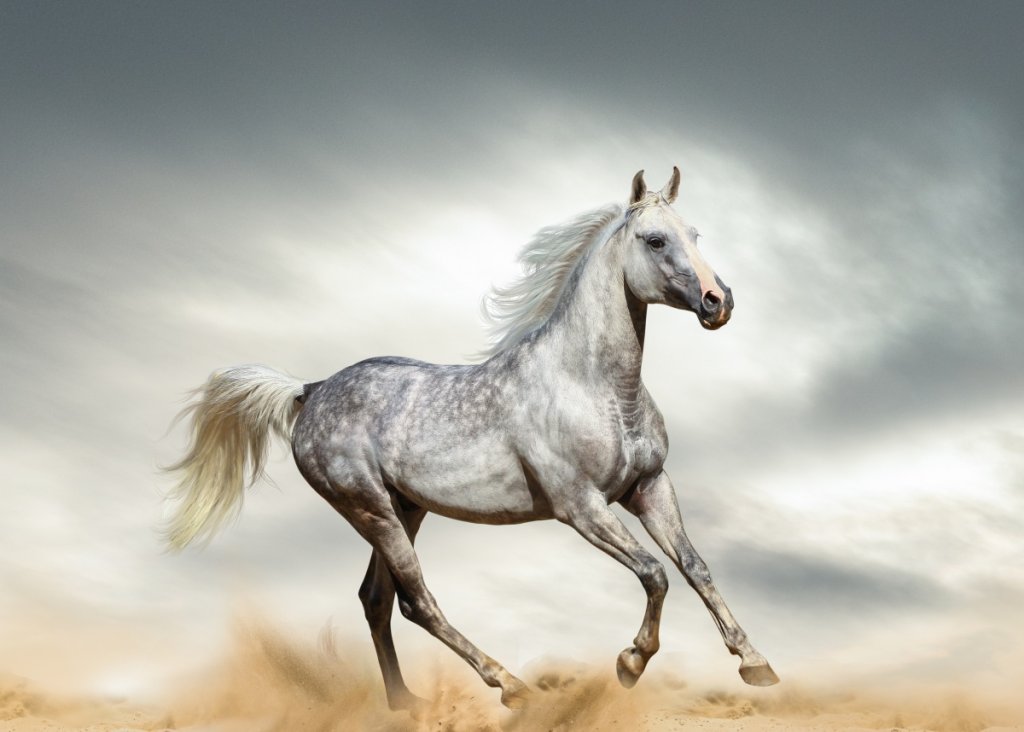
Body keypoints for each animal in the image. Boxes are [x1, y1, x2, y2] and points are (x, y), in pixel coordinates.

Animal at [165, 167, 779, 711]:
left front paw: (756, 664)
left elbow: (694, 567)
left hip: (404, 508)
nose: (718, 302)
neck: (595, 386)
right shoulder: (580, 506)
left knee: (375, 600)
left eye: (695, 234)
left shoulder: (649, 486)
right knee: (416, 602)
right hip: (370, 510)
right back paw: (512, 687)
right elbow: (655, 573)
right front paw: (630, 663)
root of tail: (310, 391)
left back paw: (404, 703)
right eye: (655, 239)